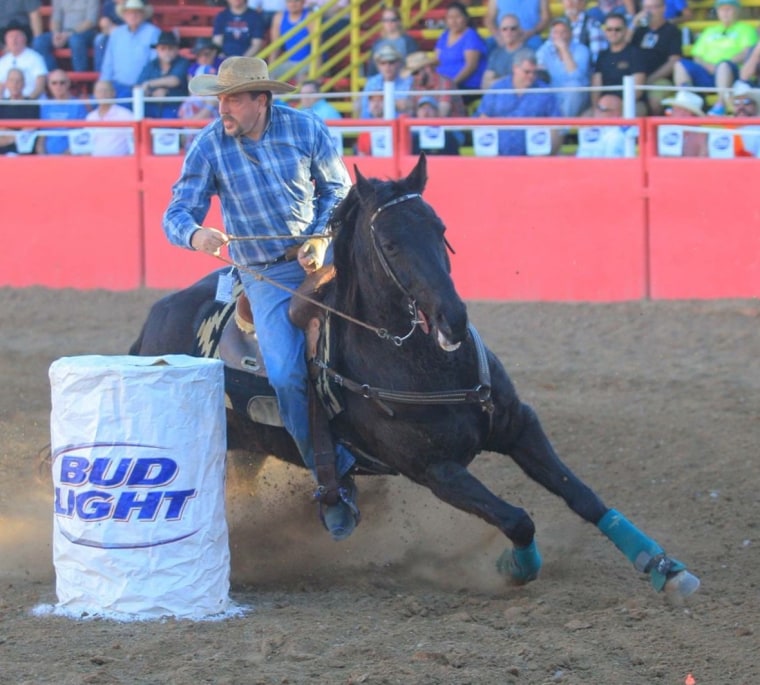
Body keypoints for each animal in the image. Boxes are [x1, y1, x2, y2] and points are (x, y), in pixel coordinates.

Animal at [131, 155, 700, 600]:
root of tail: (152, 323)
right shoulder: (435, 469)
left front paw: (662, 566)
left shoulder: (519, 424)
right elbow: (517, 516)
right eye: (389, 243)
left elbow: (581, 495)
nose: (453, 318)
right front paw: (513, 567)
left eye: (440, 229)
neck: (420, 363)